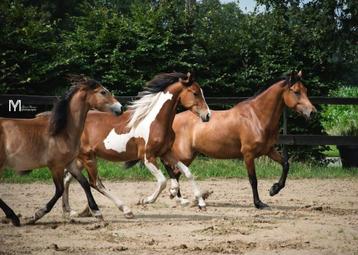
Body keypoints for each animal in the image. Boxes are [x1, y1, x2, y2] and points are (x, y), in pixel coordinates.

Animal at [0, 75, 123, 225]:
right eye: (103, 92)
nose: (121, 108)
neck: (62, 132)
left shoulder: (69, 163)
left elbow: (84, 183)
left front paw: (97, 213)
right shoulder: (56, 166)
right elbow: (59, 190)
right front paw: (36, 215)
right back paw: (14, 218)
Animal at [60, 71, 213, 217]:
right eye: (195, 93)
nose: (207, 115)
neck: (156, 121)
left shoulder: (166, 153)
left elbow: (187, 172)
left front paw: (201, 203)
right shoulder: (147, 157)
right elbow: (162, 181)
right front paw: (145, 200)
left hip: (81, 159)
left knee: (68, 179)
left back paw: (69, 211)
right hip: (88, 158)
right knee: (95, 183)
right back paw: (125, 210)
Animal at [162, 70, 316, 209]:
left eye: (306, 90)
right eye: (296, 91)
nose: (312, 112)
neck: (256, 117)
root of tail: (173, 120)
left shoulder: (269, 150)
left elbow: (286, 164)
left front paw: (274, 190)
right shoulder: (248, 154)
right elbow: (253, 179)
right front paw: (259, 203)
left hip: (190, 155)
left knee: (177, 173)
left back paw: (180, 198)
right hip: (185, 154)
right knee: (174, 171)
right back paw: (179, 198)